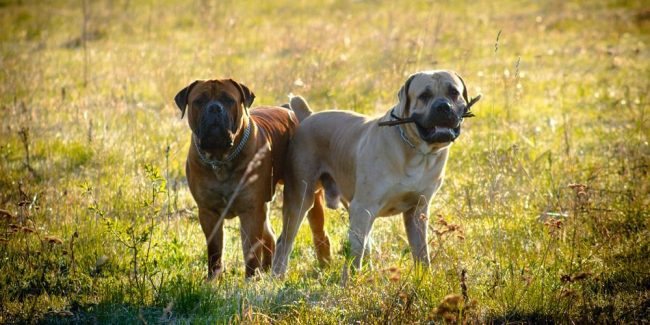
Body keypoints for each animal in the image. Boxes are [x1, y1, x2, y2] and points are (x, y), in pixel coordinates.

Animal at [172, 79, 330, 278]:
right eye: (199, 101)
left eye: (229, 100)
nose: (214, 108)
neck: (220, 158)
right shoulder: (208, 212)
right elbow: (215, 250)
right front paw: (213, 279)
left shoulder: (251, 211)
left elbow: (251, 251)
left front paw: (251, 278)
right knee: (269, 236)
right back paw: (268, 269)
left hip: (307, 197)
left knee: (318, 232)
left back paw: (324, 266)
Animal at [268, 69, 476, 274]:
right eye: (424, 95)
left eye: (454, 92)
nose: (443, 107)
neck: (417, 151)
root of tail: (308, 116)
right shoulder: (363, 207)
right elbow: (354, 255)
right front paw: (350, 282)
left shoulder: (417, 211)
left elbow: (421, 253)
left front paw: (425, 278)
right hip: (301, 198)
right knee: (285, 241)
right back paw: (278, 276)